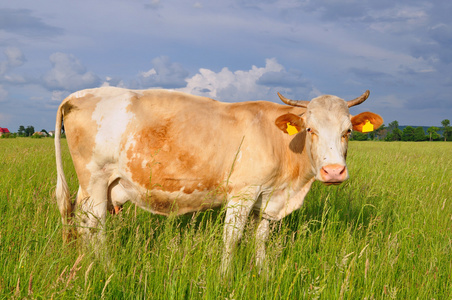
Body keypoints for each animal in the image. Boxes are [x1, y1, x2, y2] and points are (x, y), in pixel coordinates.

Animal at [54, 86, 384, 272]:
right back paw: (105, 266)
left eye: (348, 131)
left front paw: (262, 273)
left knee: (83, 221)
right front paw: (225, 276)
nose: (334, 171)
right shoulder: (243, 193)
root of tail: (78, 94)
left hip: (100, 185)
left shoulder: (268, 198)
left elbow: (261, 237)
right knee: (94, 224)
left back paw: (86, 261)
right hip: (95, 178)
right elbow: (232, 238)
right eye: (310, 129)